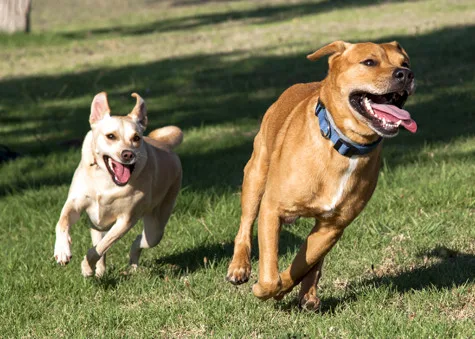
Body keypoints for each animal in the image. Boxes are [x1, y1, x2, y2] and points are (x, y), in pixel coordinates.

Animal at [227, 40, 416, 310]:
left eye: (405, 62)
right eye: (369, 62)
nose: (406, 74)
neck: (343, 146)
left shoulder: (333, 227)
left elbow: (302, 264)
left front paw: (286, 287)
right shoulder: (272, 209)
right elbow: (270, 275)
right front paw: (265, 288)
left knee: (314, 262)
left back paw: (309, 294)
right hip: (255, 174)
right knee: (245, 224)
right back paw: (239, 267)